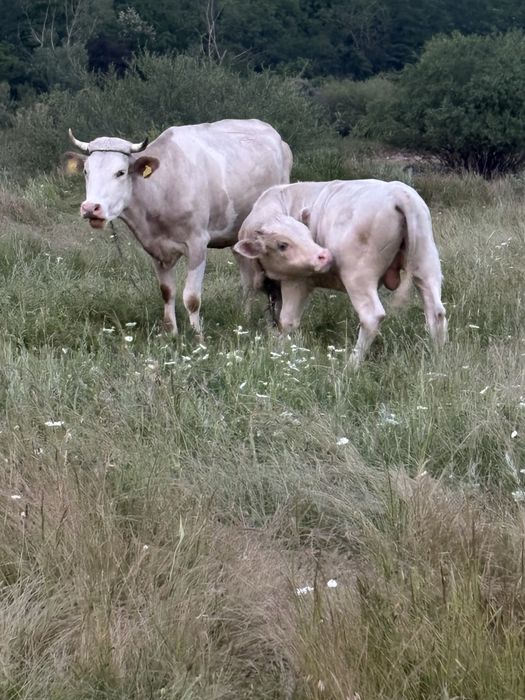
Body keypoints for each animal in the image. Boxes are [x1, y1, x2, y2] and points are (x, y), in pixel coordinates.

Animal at [63, 119, 293, 337]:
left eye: (120, 172)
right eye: (86, 171)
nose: (90, 208)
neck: (162, 188)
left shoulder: (197, 243)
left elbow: (191, 298)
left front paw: (197, 336)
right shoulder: (155, 248)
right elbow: (167, 292)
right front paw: (171, 333)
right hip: (238, 236)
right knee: (248, 280)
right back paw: (243, 318)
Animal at [234, 179, 447, 365]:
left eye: (308, 234)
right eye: (282, 245)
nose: (324, 255)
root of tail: (397, 192)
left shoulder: (296, 280)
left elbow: (287, 320)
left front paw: (279, 349)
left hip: (358, 277)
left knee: (372, 317)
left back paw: (352, 364)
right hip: (426, 265)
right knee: (436, 313)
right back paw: (436, 357)